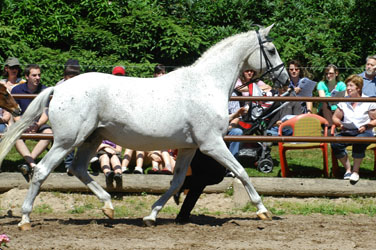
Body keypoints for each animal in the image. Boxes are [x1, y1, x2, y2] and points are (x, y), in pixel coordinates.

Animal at [0, 24, 290, 229]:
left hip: (91, 139)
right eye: (272, 50)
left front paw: (151, 215)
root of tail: (59, 89)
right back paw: (25, 220)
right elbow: (241, 171)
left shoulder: (189, 147)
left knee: (78, 169)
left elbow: (176, 181)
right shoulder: (212, 144)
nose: (286, 80)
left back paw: (108, 207)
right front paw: (263, 211)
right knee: (42, 171)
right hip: (66, 141)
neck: (206, 84)